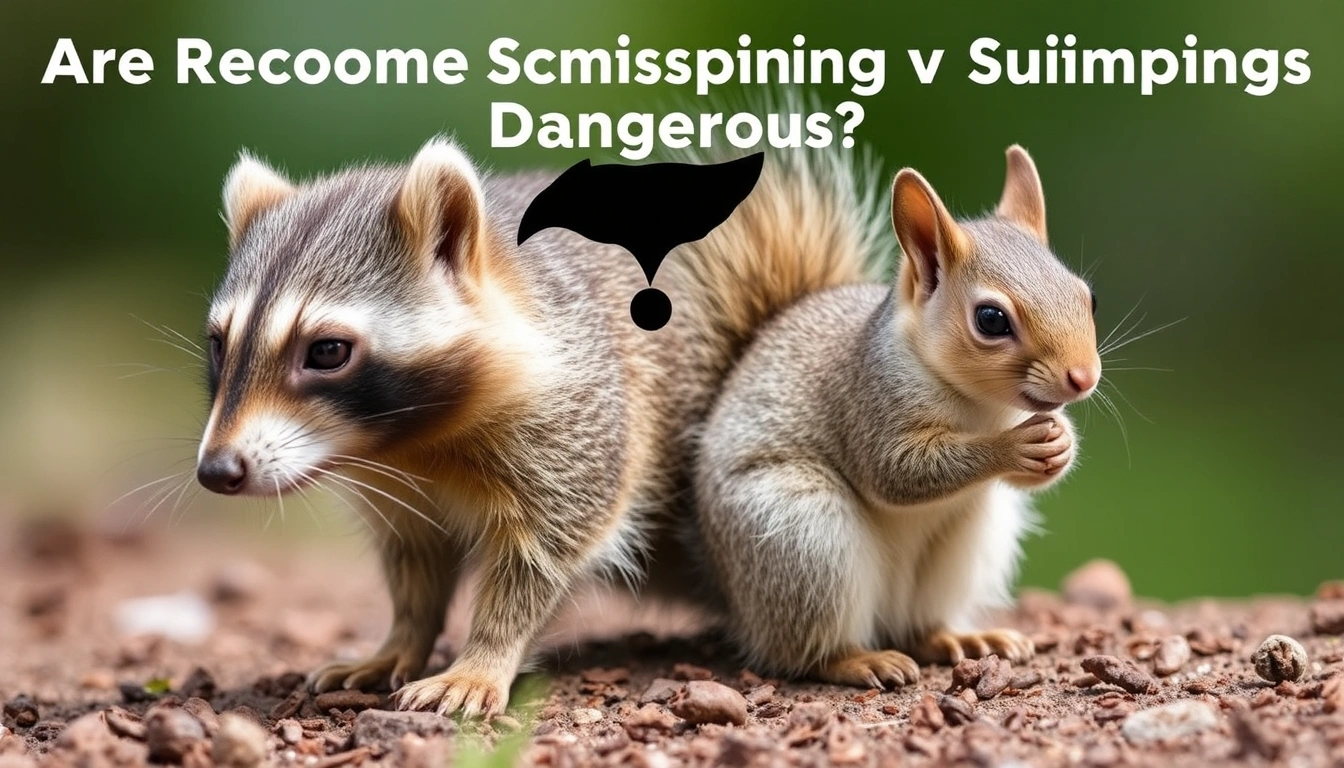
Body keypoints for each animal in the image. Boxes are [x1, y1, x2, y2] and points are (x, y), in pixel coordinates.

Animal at [194, 137, 888, 715]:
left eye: (327, 351)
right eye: (220, 345)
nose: (217, 470)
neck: (409, 438)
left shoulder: (579, 412)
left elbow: (545, 550)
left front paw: (485, 654)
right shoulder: (393, 481)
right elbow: (416, 558)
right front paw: (404, 637)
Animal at [693, 146, 1101, 688]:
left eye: (1087, 296)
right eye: (991, 320)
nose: (1084, 377)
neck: (982, 405)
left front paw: (1063, 443)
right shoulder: (869, 402)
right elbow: (896, 472)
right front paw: (1012, 447)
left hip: (963, 548)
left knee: (915, 627)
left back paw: (959, 639)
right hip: (803, 538)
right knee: (801, 650)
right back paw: (859, 660)